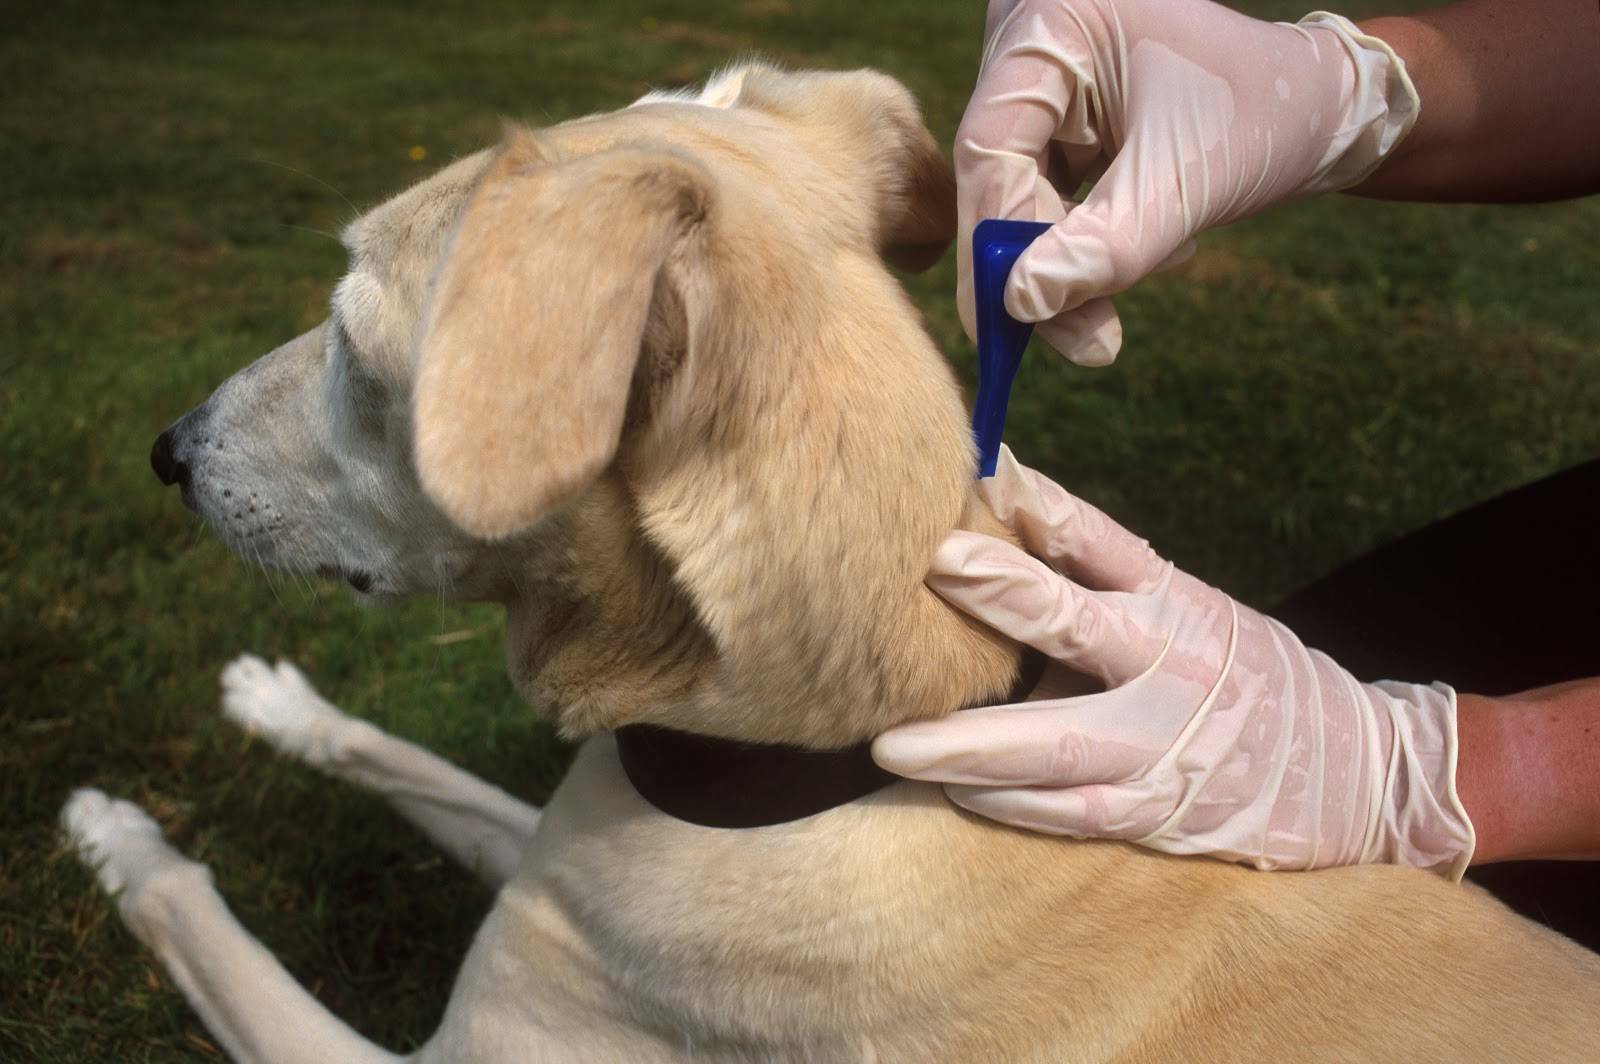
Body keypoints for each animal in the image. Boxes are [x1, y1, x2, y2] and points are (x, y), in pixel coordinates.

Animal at [62, 64, 1600, 1056]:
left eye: (346, 338)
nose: (167, 450)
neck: (847, 758)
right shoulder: (564, 857)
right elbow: (418, 763)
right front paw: (279, 703)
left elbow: (205, 917)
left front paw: (116, 832)